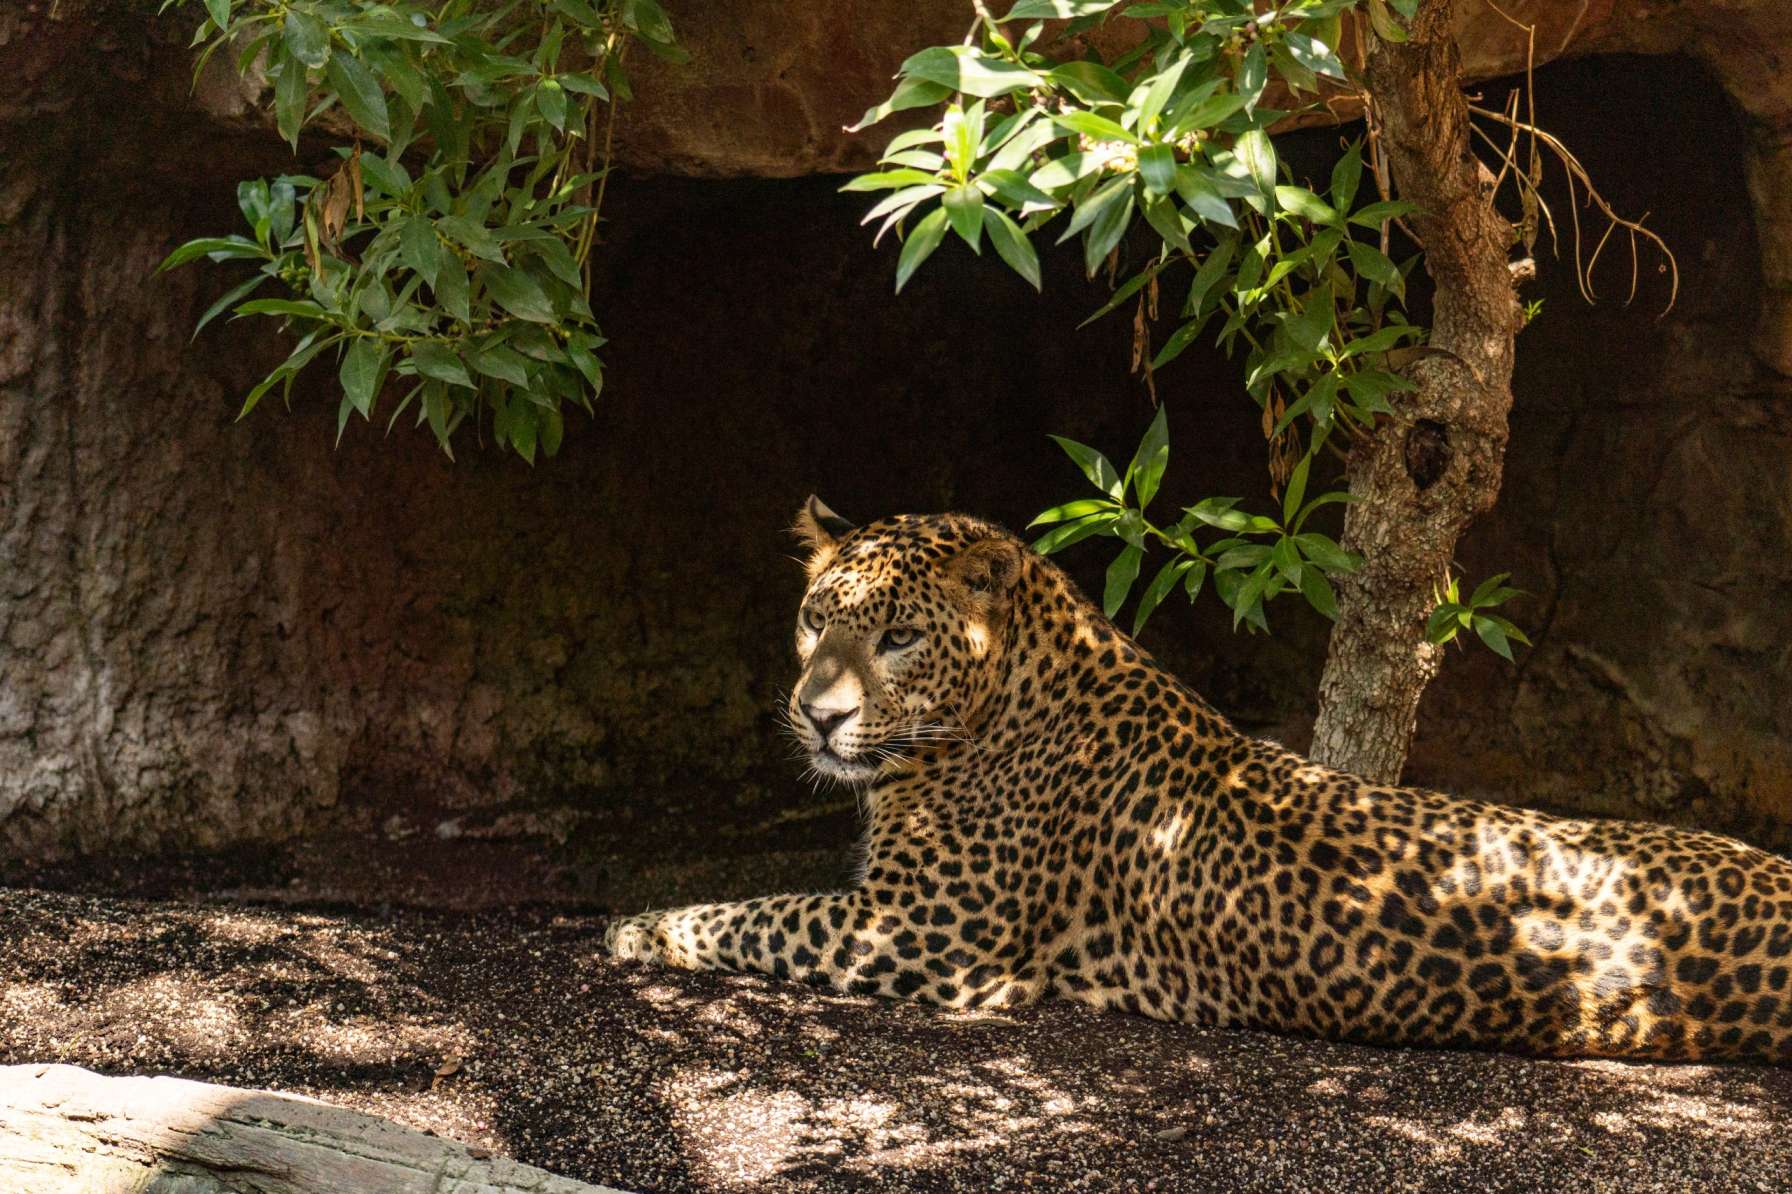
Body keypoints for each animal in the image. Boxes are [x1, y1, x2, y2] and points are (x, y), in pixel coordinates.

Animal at [605, 494, 1792, 1061]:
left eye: (897, 637)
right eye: (816, 619)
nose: (819, 711)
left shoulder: (926, 934)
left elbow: (759, 914)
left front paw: (636, 927)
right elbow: (766, 905)